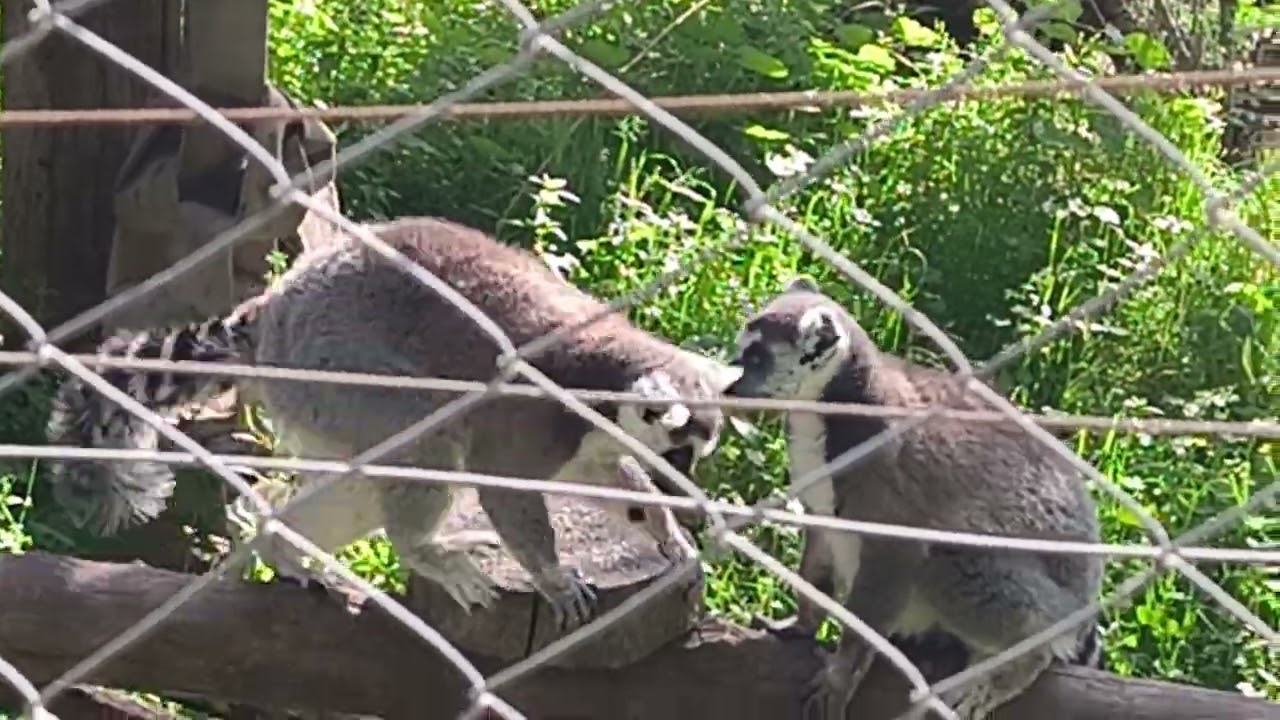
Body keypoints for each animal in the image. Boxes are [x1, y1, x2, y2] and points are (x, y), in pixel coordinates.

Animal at [45, 215, 742, 629]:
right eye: (680, 452)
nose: (685, 487)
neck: (601, 389)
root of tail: (271, 313)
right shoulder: (531, 420)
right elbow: (503, 487)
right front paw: (553, 577)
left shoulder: (585, 442)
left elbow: (605, 479)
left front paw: (667, 536)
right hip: (336, 371)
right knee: (427, 440)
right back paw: (424, 551)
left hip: (317, 404)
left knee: (364, 481)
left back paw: (284, 546)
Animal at [724, 276, 1103, 719]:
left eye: (757, 358)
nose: (729, 388)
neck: (830, 411)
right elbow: (819, 545)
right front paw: (802, 624)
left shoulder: (884, 473)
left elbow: (894, 557)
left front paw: (840, 676)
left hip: (1045, 597)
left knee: (948, 558)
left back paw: (1019, 661)